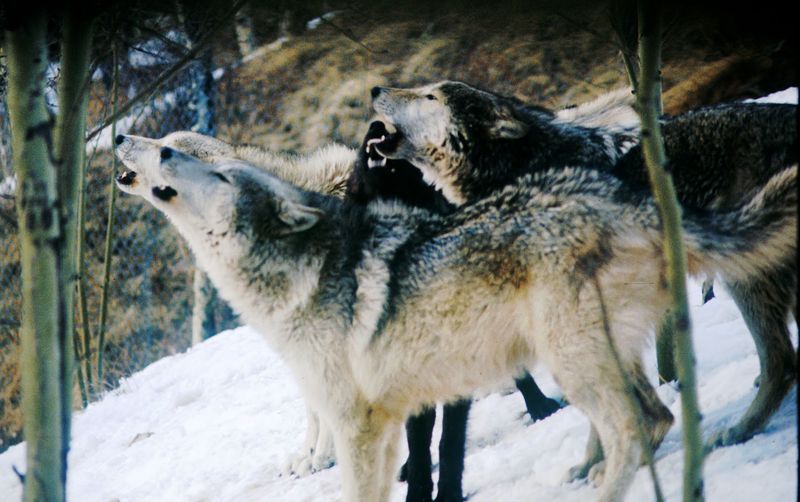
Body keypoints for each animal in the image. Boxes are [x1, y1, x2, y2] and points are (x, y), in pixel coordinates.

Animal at [115, 139, 796, 501]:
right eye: (166, 149)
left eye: (192, 159)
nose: (132, 142)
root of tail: (628, 200)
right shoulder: (388, 420)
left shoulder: (358, 424)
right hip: (591, 356)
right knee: (647, 415)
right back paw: (588, 472)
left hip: (573, 360)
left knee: (645, 423)